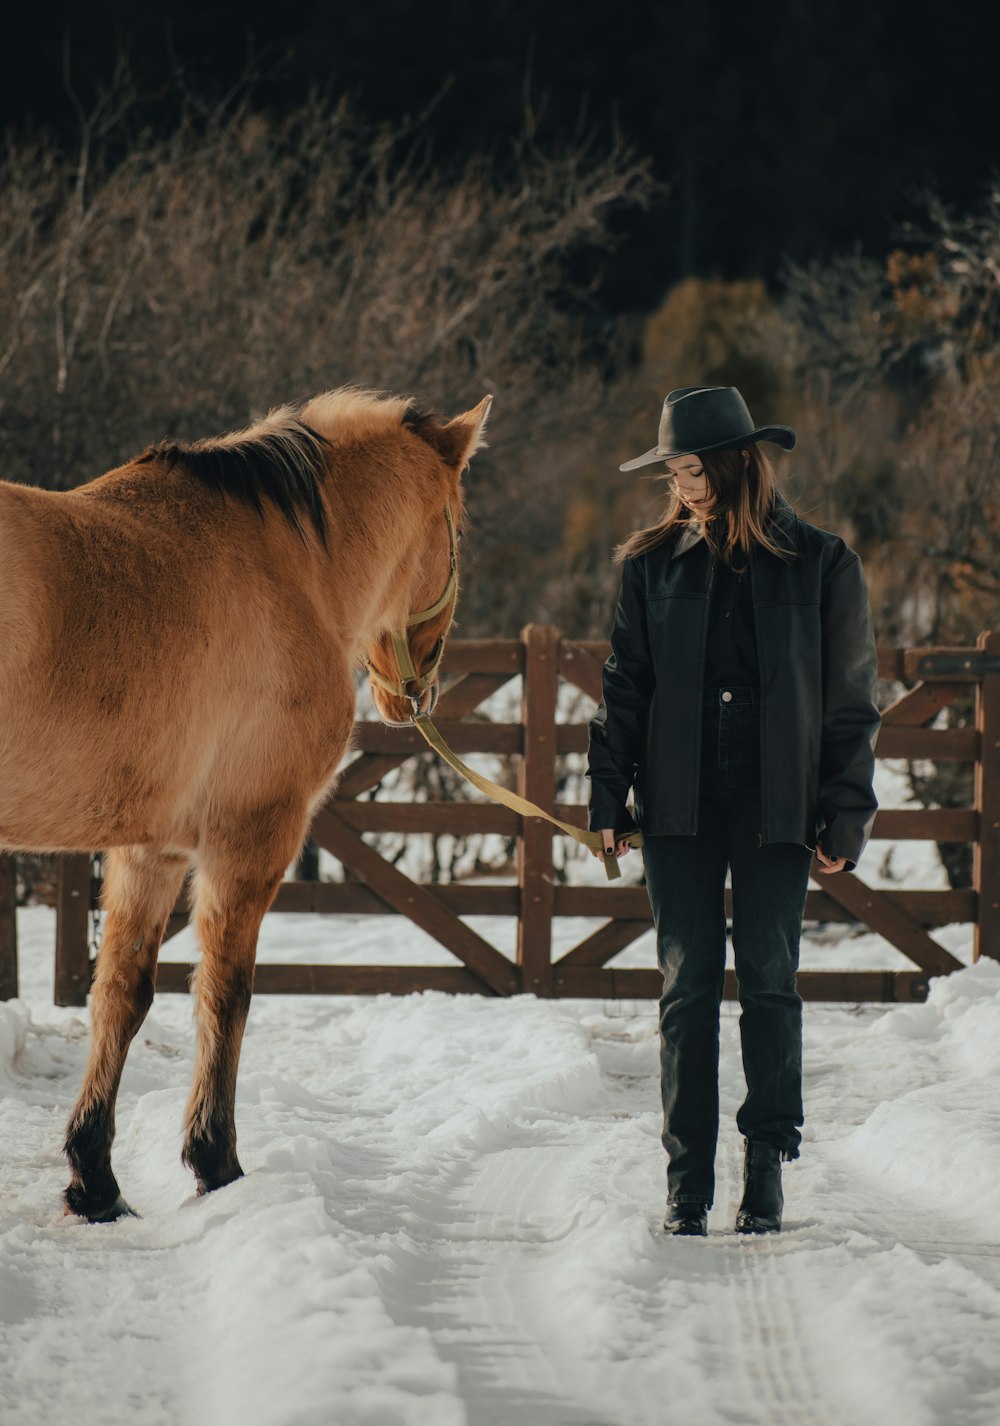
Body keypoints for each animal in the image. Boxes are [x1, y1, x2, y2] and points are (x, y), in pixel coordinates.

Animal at [0, 385, 487, 1220]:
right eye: (458, 529)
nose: (413, 693)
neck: (290, 565)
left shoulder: (151, 849)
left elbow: (121, 996)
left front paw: (94, 1178)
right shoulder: (252, 838)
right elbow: (227, 995)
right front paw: (214, 1161)